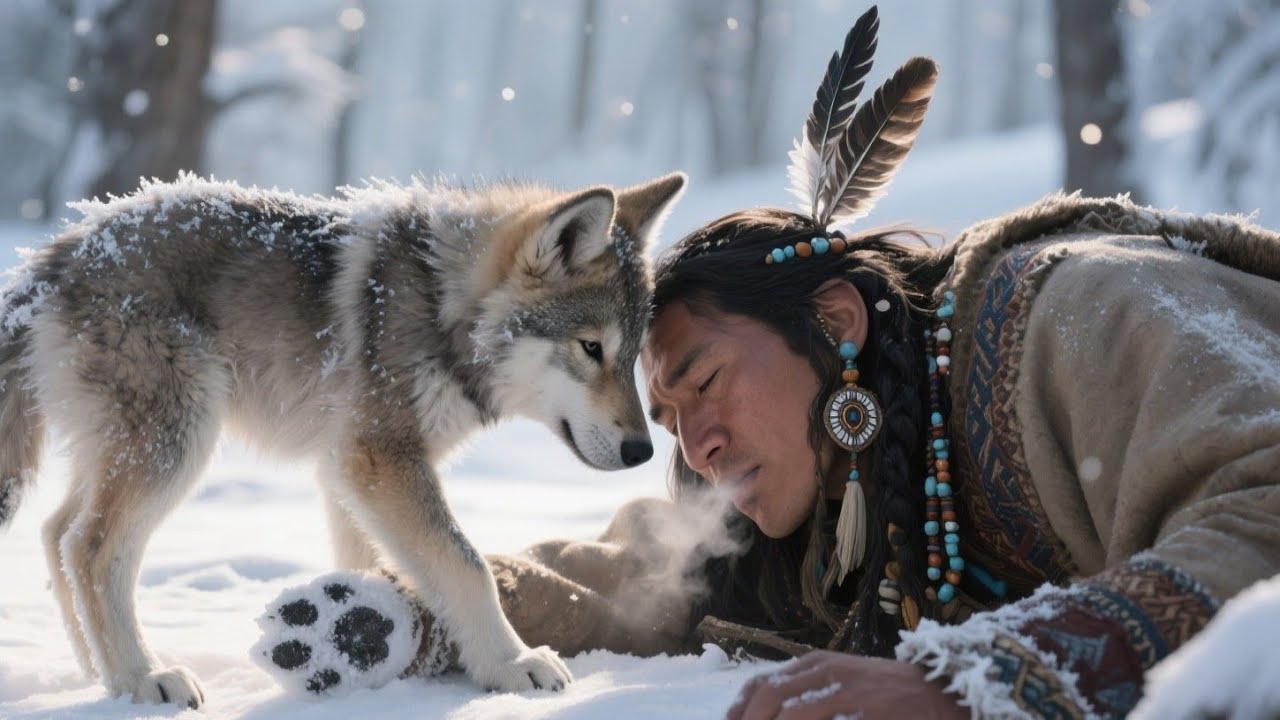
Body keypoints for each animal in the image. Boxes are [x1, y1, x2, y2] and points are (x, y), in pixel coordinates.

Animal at [0, 170, 686, 707]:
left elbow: (373, 569)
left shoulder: (349, 473)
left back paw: (97, 674)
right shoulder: (379, 460)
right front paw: (512, 665)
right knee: (90, 548)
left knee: (56, 533)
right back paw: (142, 678)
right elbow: (466, 567)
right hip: (179, 444)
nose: (642, 451)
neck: (440, 305)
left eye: (632, 357)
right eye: (591, 348)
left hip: (128, 450)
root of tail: (56, 254)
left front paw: (370, 653)